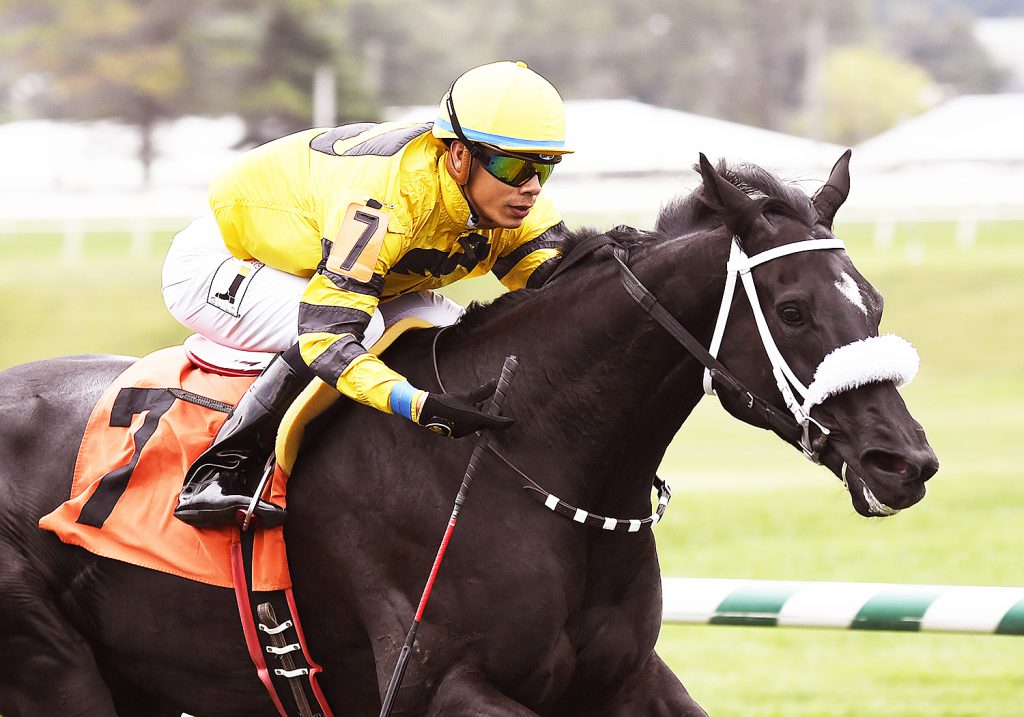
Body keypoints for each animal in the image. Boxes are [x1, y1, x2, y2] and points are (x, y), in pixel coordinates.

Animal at [0, 153, 937, 712]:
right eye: (794, 309)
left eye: (874, 302)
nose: (904, 460)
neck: (539, 459)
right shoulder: (435, 685)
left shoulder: (624, 679)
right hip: (53, 668)